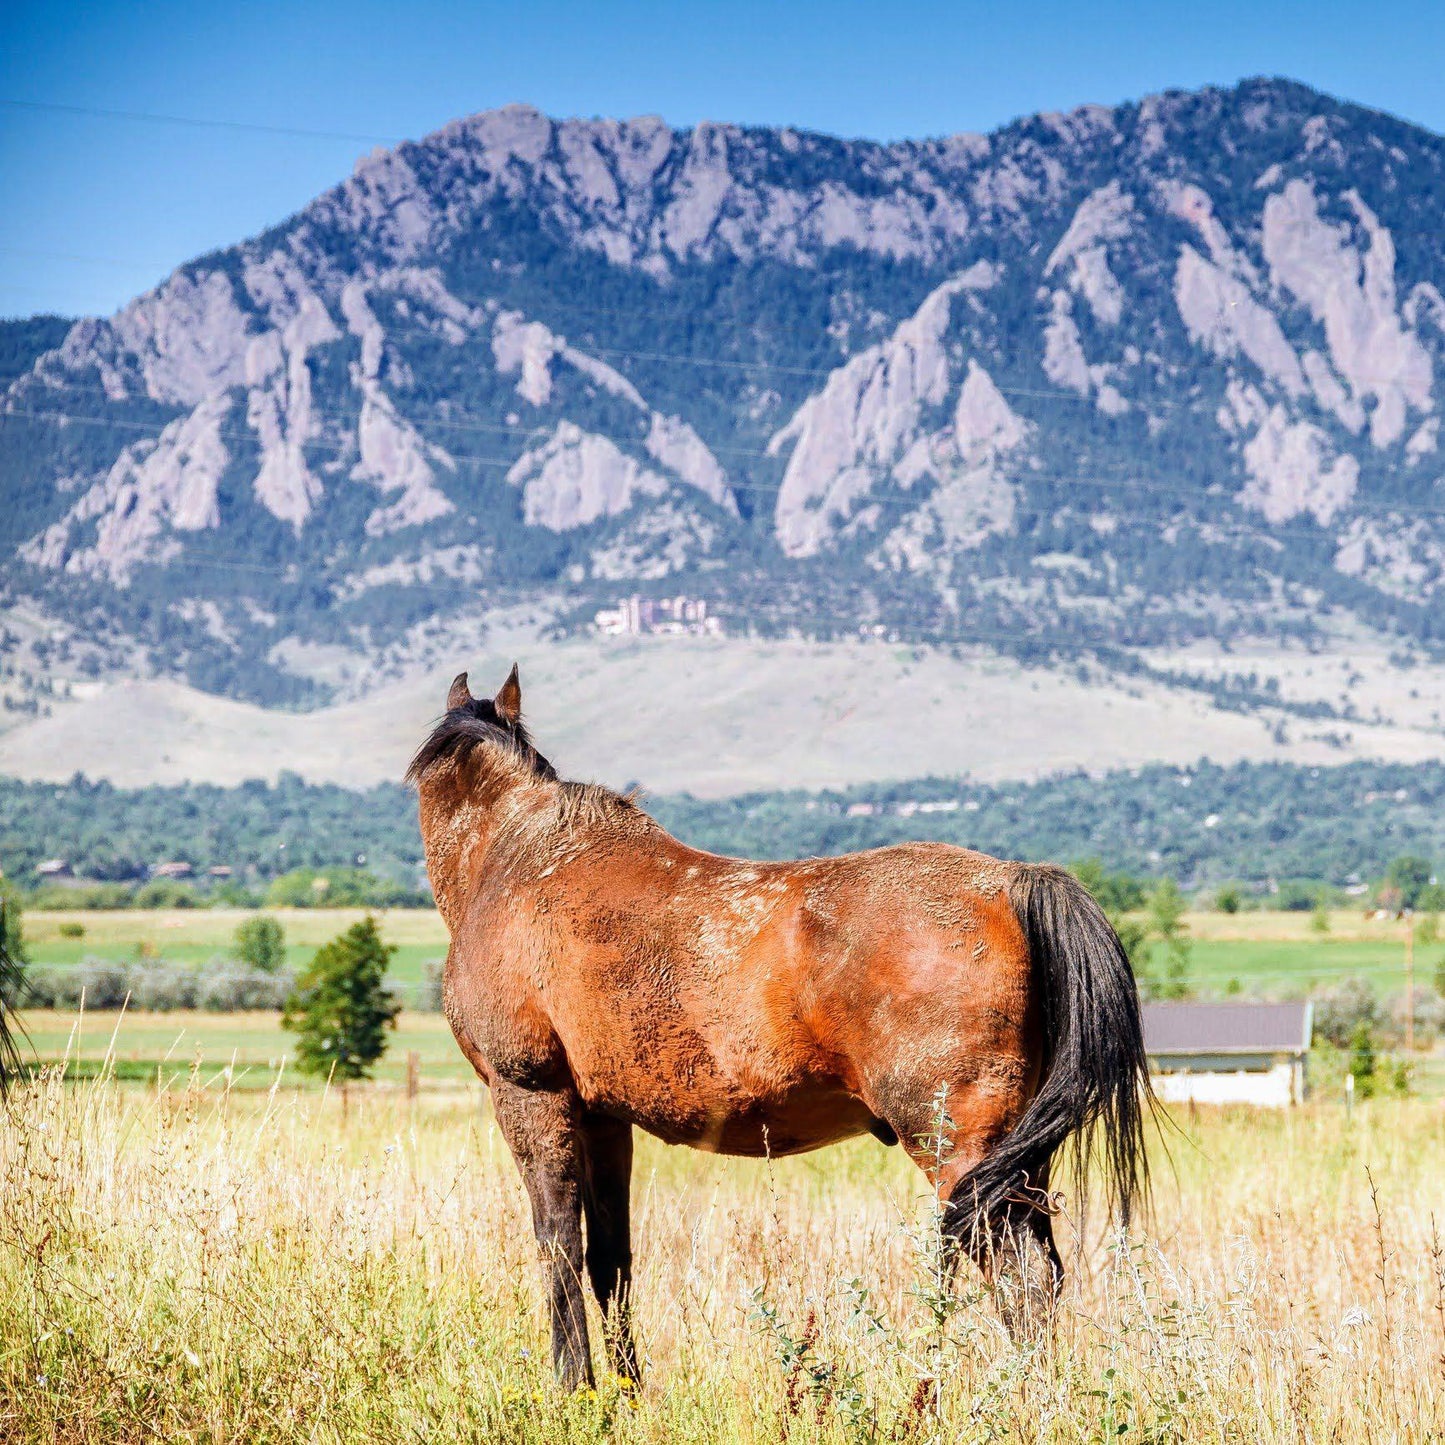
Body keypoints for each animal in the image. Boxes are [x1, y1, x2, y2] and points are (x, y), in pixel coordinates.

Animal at [407, 664, 1150, 1387]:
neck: (518, 859)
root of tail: (1011, 882)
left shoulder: (532, 1098)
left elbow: (557, 1249)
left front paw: (573, 1390)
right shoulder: (603, 1118)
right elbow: (609, 1261)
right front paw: (626, 1392)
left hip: (958, 1149)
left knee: (1020, 1278)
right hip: (1017, 1158)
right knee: (1043, 1274)